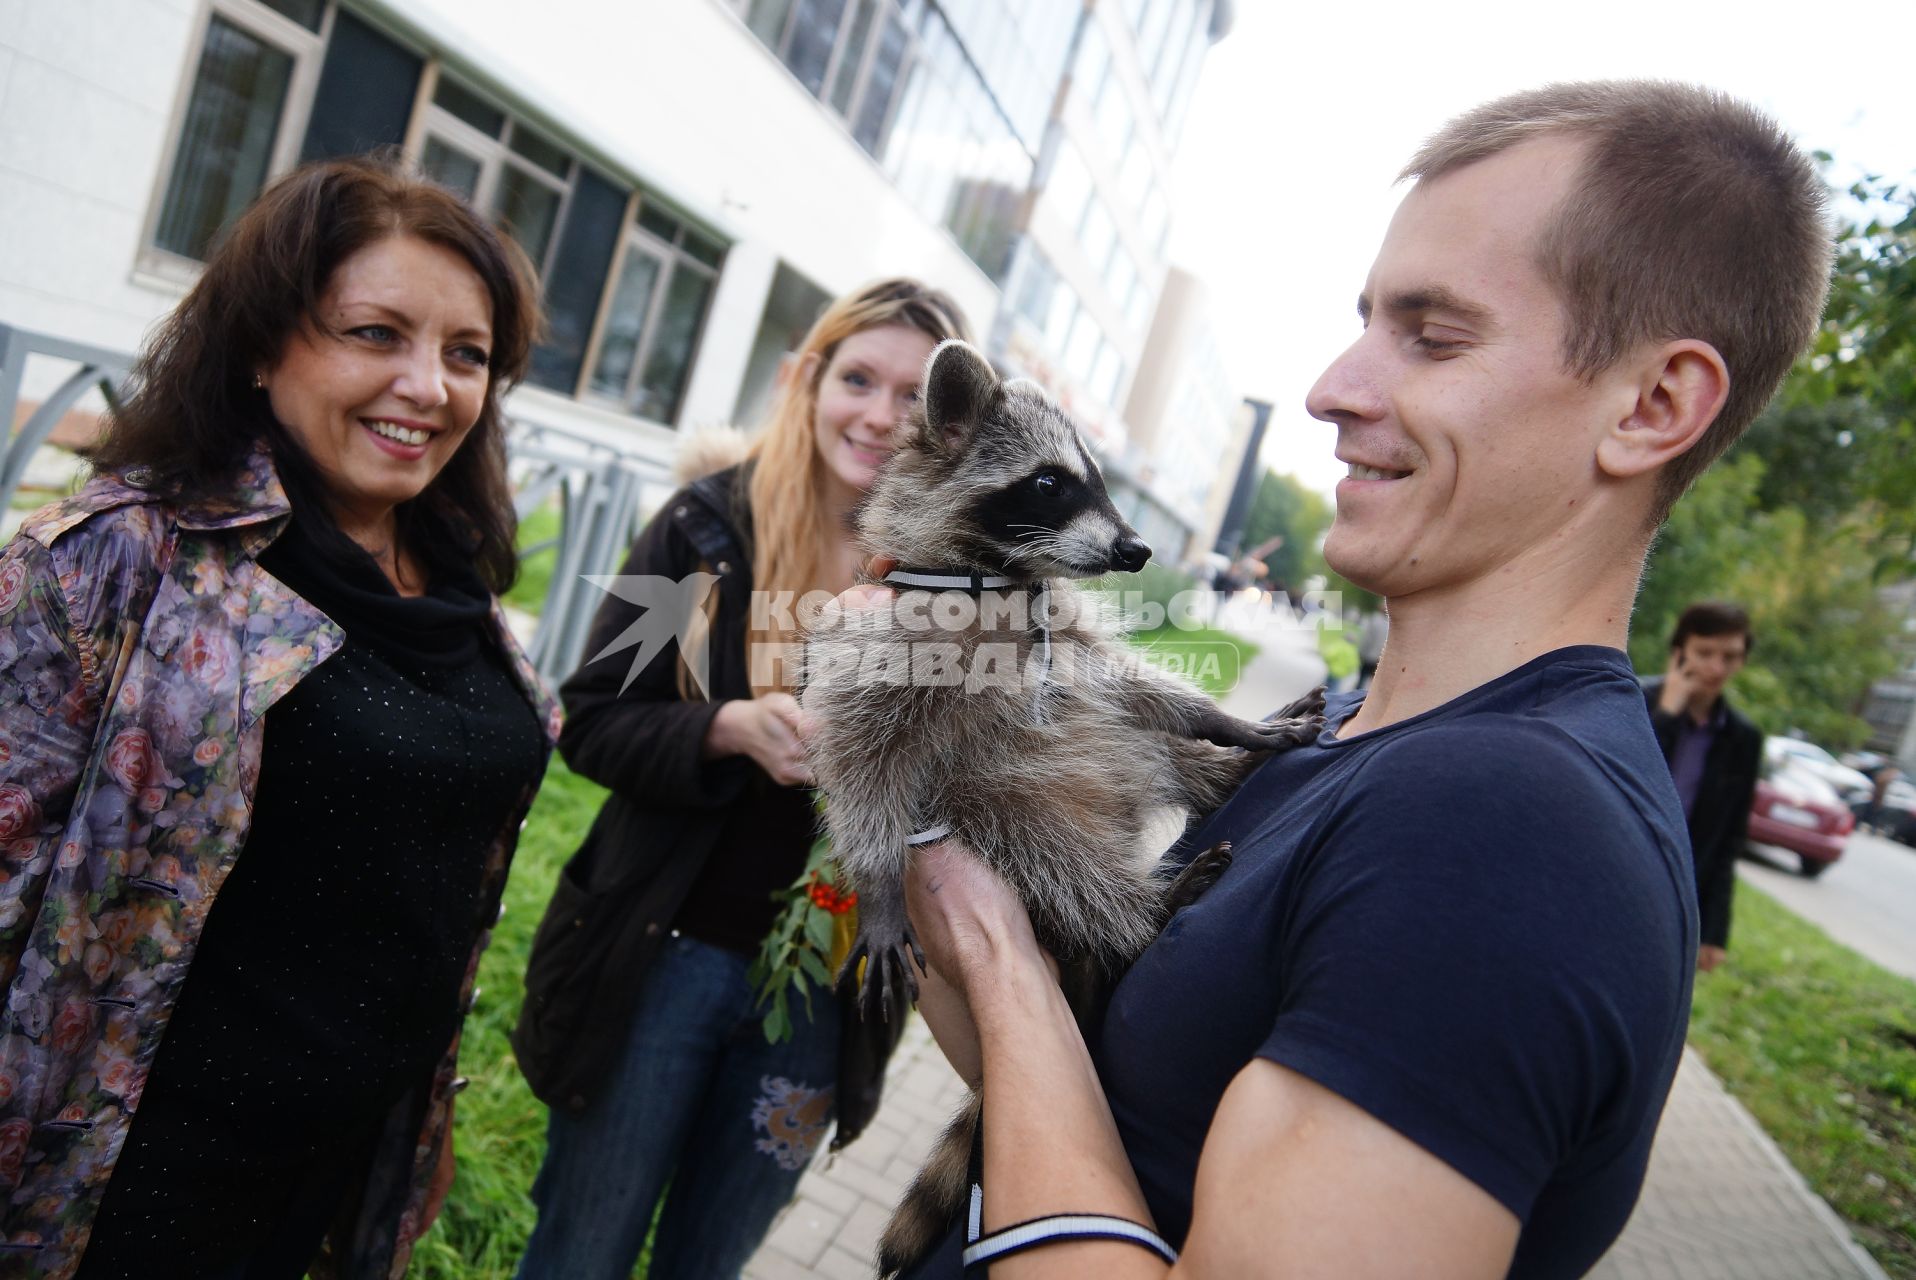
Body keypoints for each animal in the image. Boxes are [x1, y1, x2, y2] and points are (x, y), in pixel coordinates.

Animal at [800, 337, 1325, 1272]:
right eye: (1051, 483)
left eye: (1103, 480)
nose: (1139, 550)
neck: (998, 580)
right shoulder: (883, 649)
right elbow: (863, 765)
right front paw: (881, 885)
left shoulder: (1070, 636)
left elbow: (1138, 687)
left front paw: (1220, 720)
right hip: (1001, 801)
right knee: (1051, 848)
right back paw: (1145, 911)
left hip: (1105, 760)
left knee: (1138, 737)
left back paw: (1214, 774)